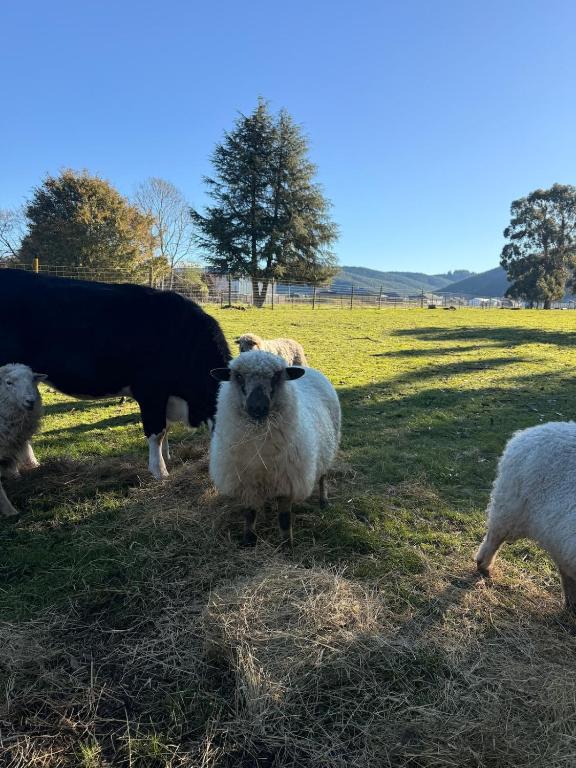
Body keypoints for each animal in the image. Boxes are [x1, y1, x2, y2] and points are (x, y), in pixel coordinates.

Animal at [209, 350, 341, 545]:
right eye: (238, 376)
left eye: (277, 376)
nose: (257, 407)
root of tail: (309, 369)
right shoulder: (247, 484)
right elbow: (249, 514)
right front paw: (248, 540)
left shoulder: (288, 483)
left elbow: (285, 519)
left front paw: (287, 544)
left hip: (328, 449)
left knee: (323, 476)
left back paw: (323, 501)